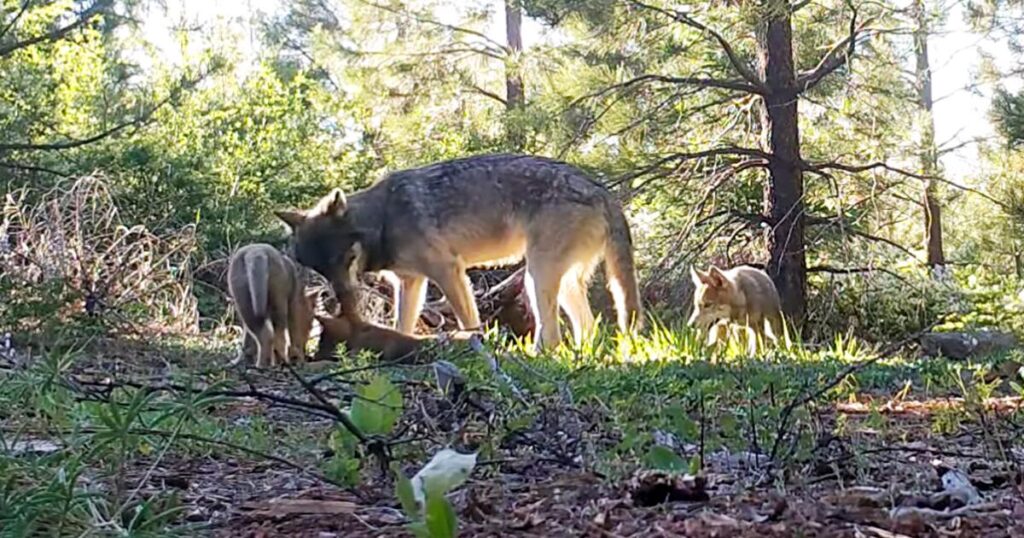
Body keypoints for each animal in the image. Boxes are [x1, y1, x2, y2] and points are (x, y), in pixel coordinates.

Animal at [275, 154, 643, 350]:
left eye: (343, 259)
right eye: (320, 270)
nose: (342, 299)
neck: (384, 219)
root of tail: (602, 190)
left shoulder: (448, 271)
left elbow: (469, 319)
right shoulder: (410, 283)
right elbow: (402, 324)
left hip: (536, 278)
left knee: (552, 336)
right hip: (557, 283)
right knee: (589, 328)